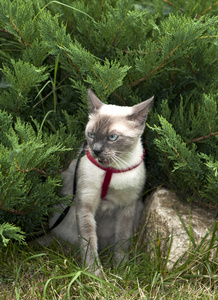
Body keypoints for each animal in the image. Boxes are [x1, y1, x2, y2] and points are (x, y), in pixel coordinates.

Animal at [37, 88, 153, 276]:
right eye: (91, 135)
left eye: (112, 137)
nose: (96, 150)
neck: (112, 170)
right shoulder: (86, 204)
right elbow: (89, 243)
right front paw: (94, 274)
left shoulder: (127, 206)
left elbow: (122, 242)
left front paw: (121, 269)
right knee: (76, 244)